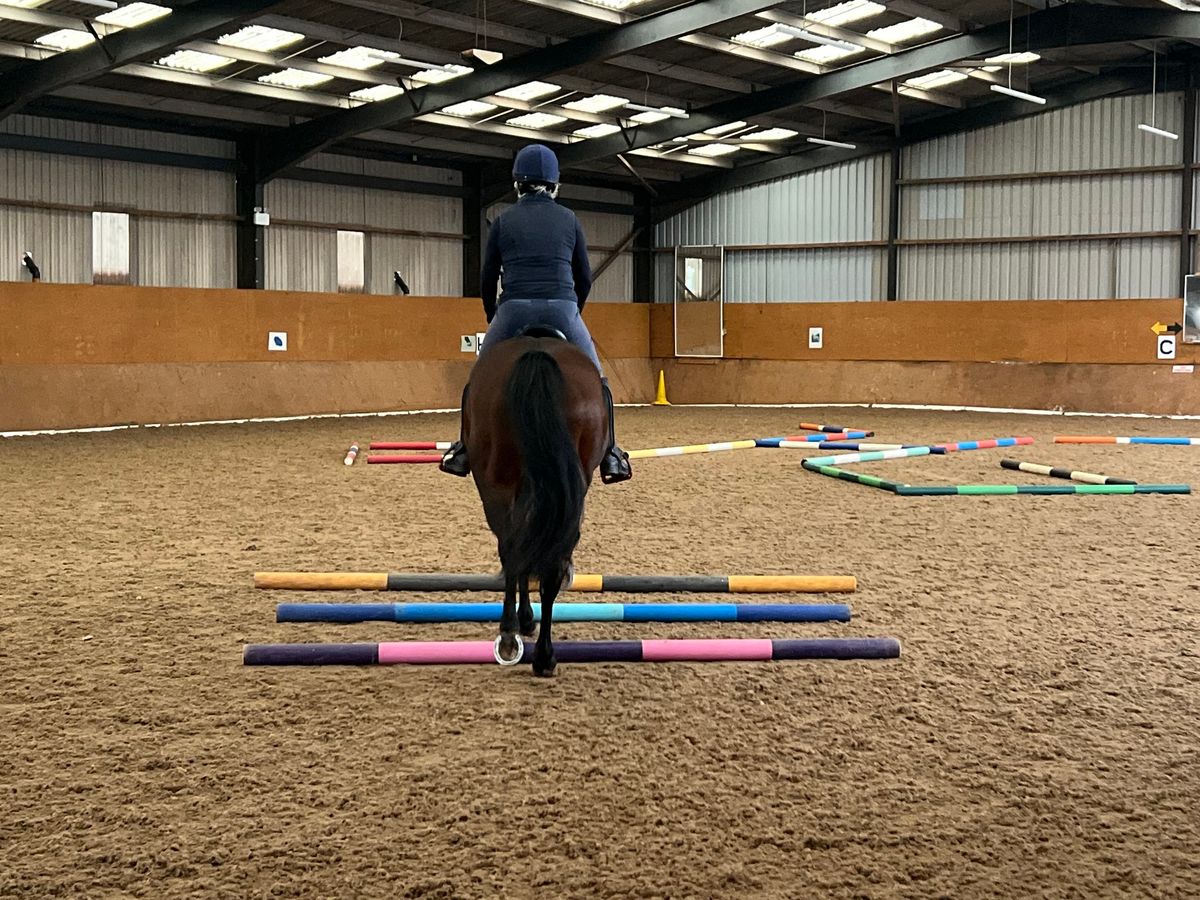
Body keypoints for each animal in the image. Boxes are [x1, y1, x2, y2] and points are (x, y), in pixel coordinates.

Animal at [460, 328, 609, 676]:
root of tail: (537, 353)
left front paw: (523, 621)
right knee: (545, 559)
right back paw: (543, 655)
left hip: (496, 487)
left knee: (511, 549)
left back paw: (512, 635)